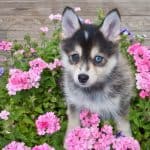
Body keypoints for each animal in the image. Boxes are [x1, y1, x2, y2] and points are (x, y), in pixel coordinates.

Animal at [60, 6, 134, 138]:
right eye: (75, 56)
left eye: (98, 58)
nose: (82, 77)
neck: (92, 90)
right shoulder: (74, 102)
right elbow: (73, 124)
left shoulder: (121, 105)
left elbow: (124, 126)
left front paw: (129, 141)